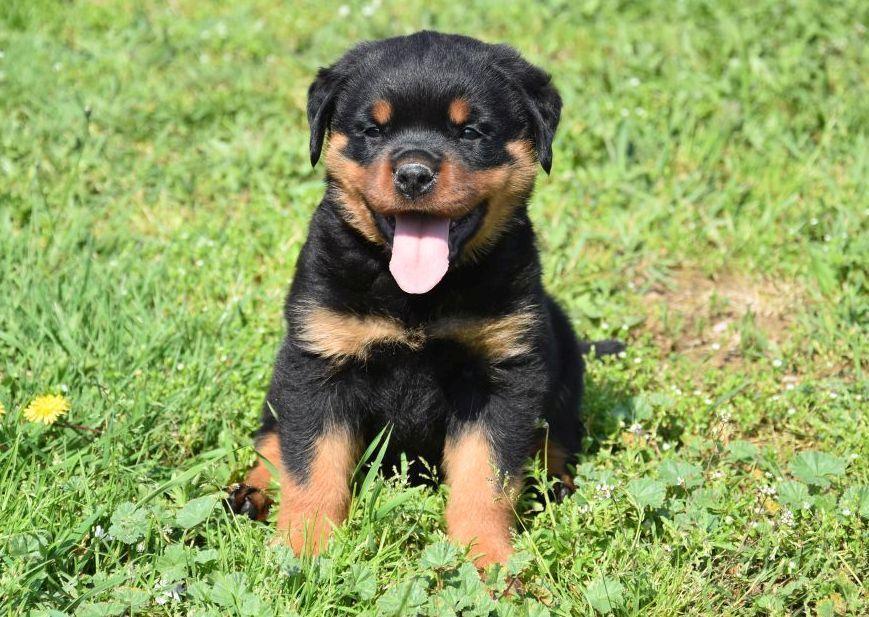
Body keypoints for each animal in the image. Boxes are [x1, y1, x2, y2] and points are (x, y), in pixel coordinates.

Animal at [225, 31, 616, 564]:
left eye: (470, 132)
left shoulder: (500, 376)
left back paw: (554, 486)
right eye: (373, 130)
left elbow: (485, 477)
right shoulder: (319, 361)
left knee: (556, 436)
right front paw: (302, 548)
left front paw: (487, 558)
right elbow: (311, 465)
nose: (413, 174)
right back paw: (251, 493)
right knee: (272, 436)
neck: (416, 295)